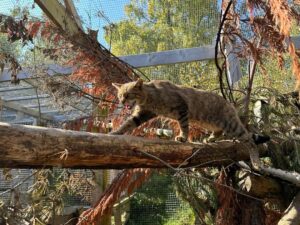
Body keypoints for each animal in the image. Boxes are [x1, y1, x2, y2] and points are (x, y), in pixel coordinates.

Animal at [110, 79, 270, 144]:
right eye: (119, 95)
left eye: (128, 95)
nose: (122, 102)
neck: (150, 97)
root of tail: (230, 104)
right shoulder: (142, 114)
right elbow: (127, 124)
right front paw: (115, 132)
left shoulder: (181, 107)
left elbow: (184, 126)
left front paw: (182, 137)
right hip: (210, 123)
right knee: (219, 131)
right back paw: (211, 139)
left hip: (230, 124)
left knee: (247, 136)